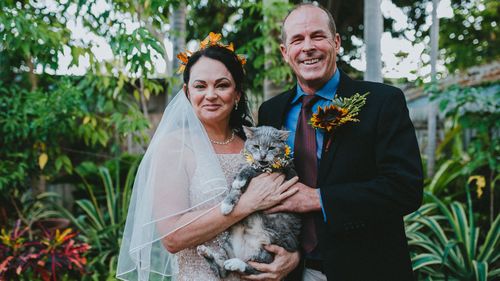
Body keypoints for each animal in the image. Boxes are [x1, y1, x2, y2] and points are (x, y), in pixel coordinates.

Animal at [197, 126, 300, 276]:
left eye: (271, 148)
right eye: (256, 146)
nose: (262, 156)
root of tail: (243, 253)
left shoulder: (282, 170)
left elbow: (250, 169)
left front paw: (242, 178)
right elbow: (234, 190)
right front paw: (227, 205)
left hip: (269, 251)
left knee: (254, 269)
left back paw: (236, 263)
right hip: (229, 244)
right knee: (221, 268)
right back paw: (206, 252)